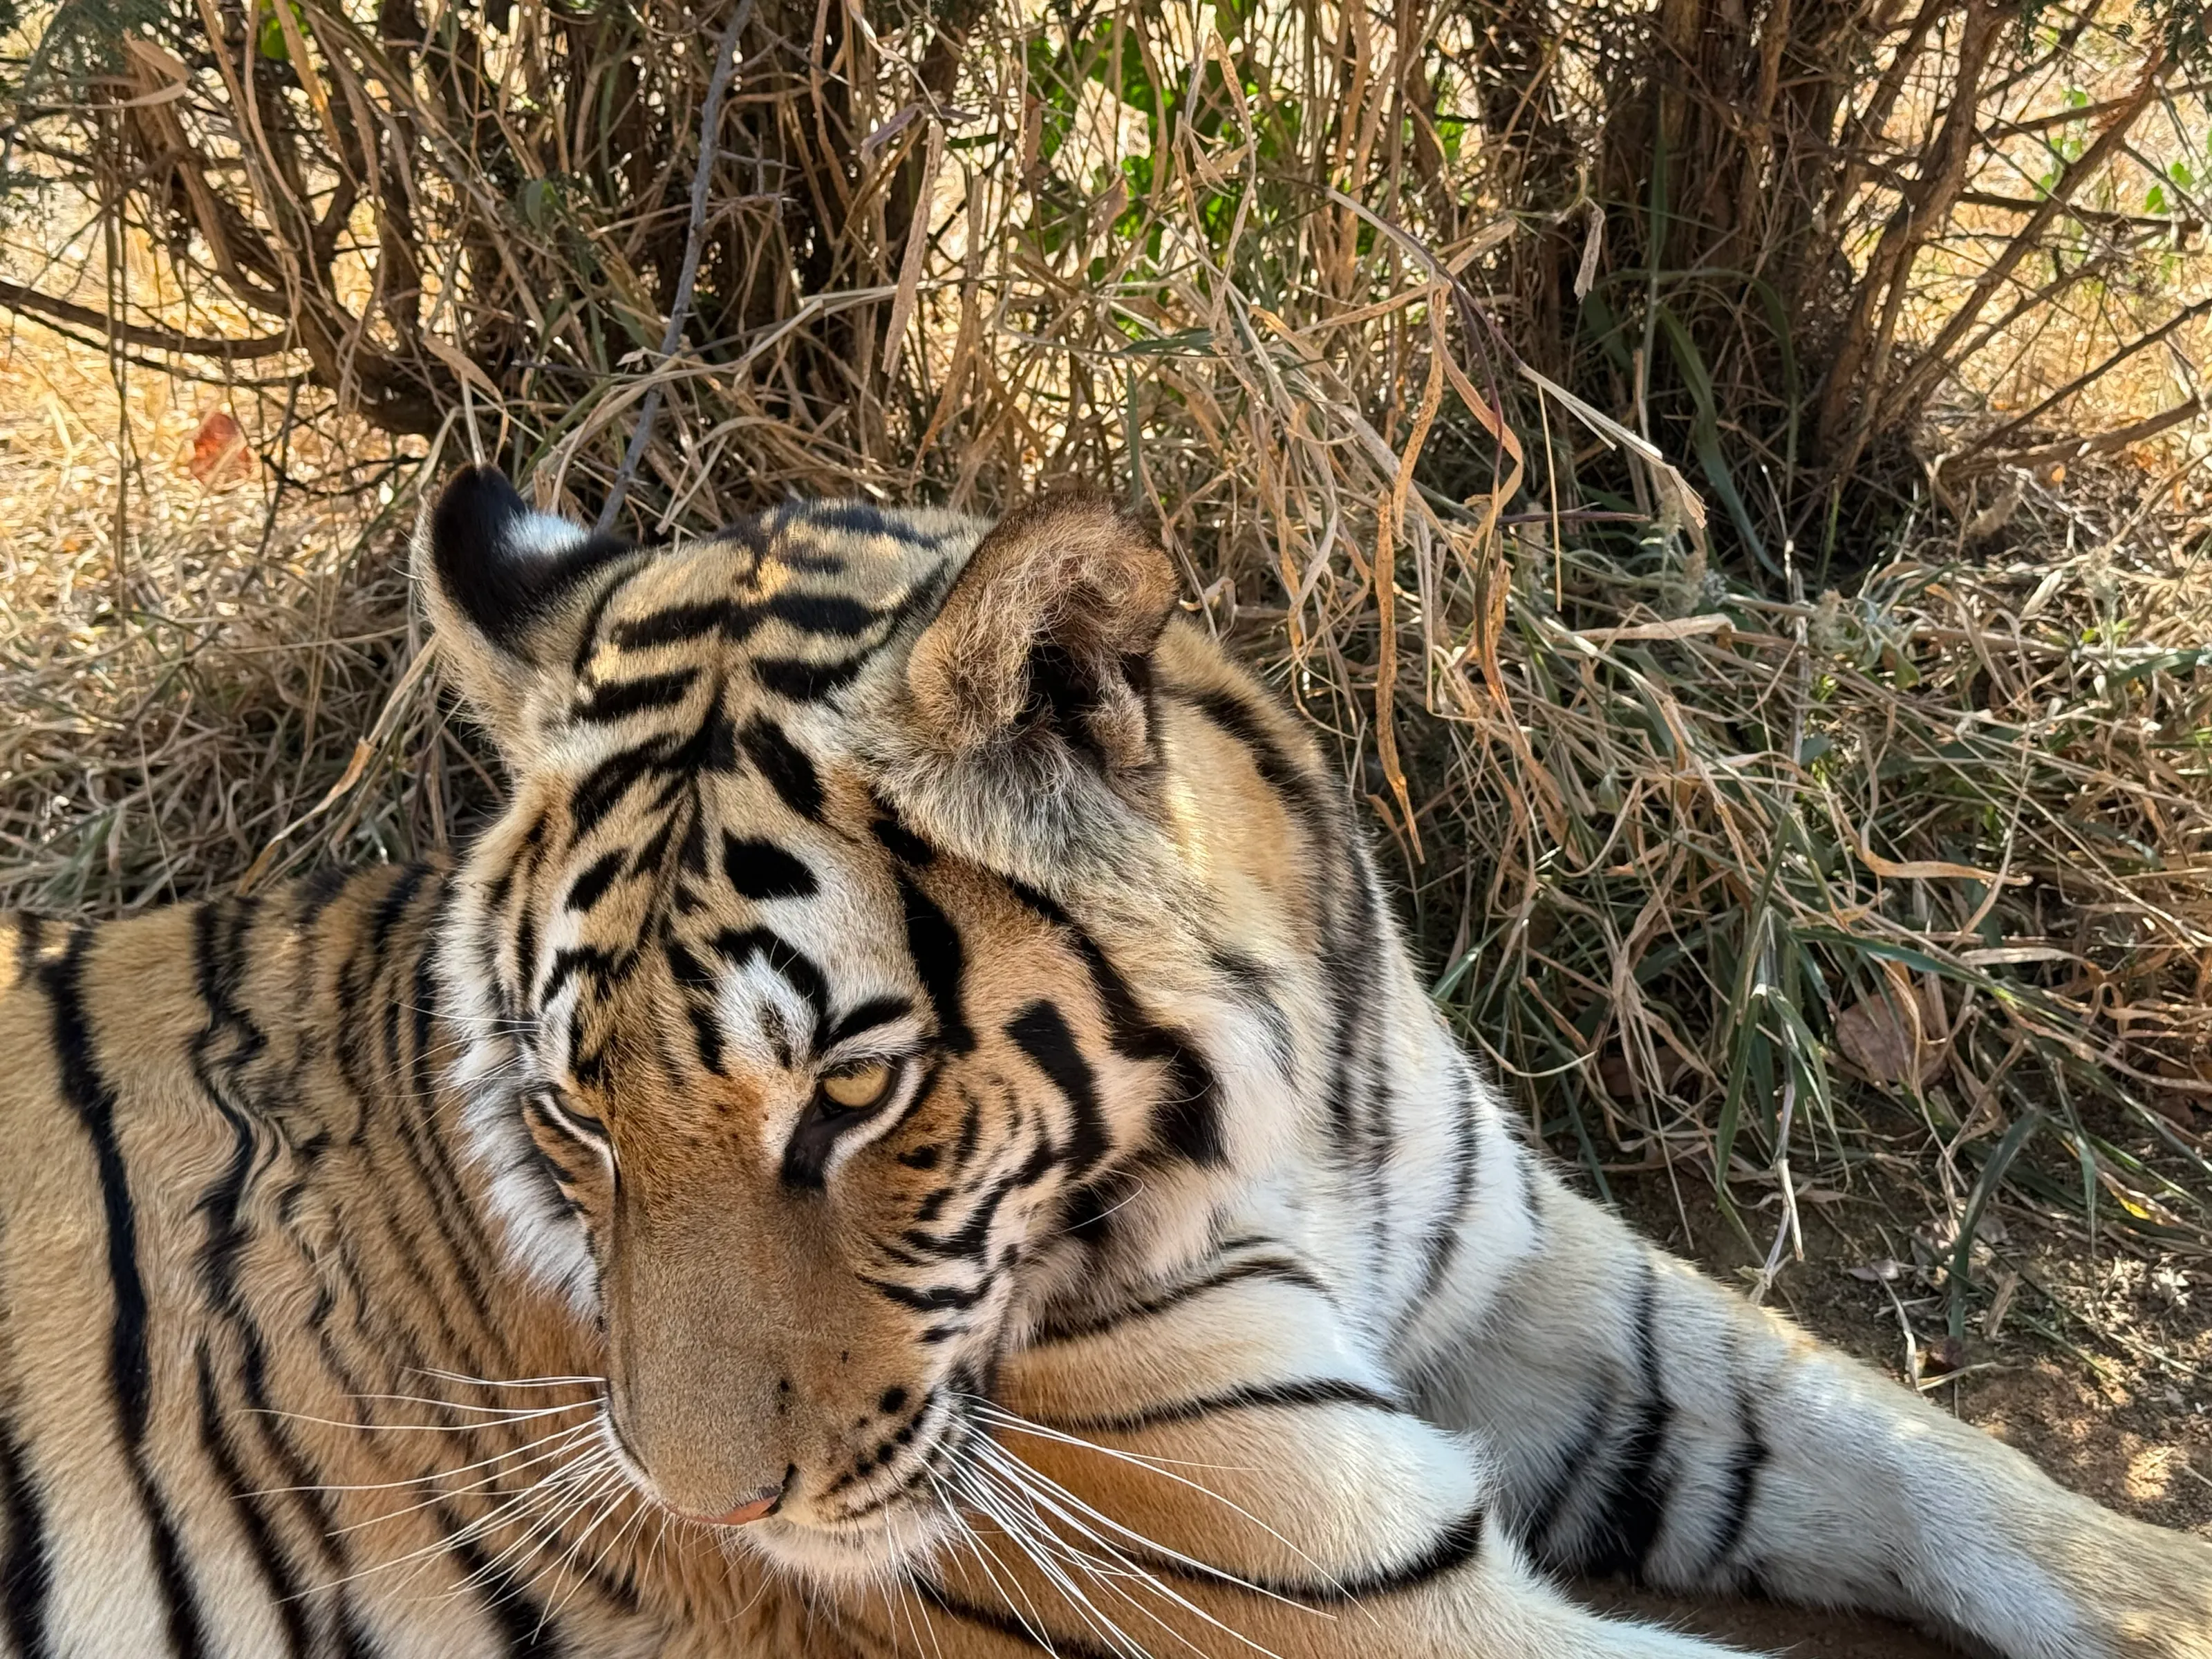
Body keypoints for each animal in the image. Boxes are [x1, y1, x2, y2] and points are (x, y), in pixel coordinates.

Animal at [0, 464, 2206, 1659]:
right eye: (569, 1111)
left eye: (853, 1096)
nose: (712, 1516)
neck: (1297, 1125)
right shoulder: (1343, 1581)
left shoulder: (1538, 1284)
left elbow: (1898, 1438)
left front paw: (2158, 1581)